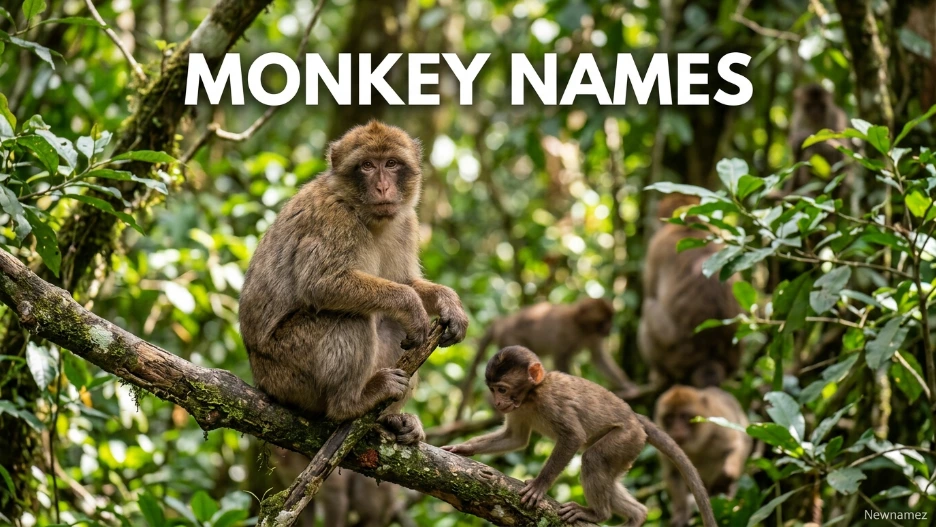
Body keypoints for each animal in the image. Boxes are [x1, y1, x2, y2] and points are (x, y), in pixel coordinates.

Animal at [239, 121, 469, 445]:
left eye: (391, 163)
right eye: (367, 166)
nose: (383, 187)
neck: (363, 212)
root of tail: (260, 380)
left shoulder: (406, 222)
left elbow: (404, 280)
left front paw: (449, 303)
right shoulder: (333, 220)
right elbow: (321, 284)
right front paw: (411, 305)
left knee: (390, 322)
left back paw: (390, 419)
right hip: (287, 370)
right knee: (351, 316)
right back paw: (351, 403)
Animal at [443, 346, 716, 527]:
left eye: (501, 389)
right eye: (492, 390)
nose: (498, 403)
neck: (533, 394)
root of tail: (635, 419)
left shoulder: (550, 402)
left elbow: (573, 437)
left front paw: (539, 486)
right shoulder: (519, 408)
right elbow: (515, 438)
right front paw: (462, 448)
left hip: (626, 438)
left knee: (593, 458)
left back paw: (598, 514)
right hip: (630, 446)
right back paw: (637, 515)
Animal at [457, 298, 637, 417]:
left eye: (610, 319)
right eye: (603, 321)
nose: (610, 328)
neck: (582, 327)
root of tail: (501, 322)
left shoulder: (593, 337)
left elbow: (598, 358)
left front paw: (627, 385)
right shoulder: (566, 331)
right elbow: (562, 358)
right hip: (509, 336)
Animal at [638, 193, 741, 390]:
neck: (689, 227)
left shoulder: (657, 245)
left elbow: (650, 292)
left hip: (673, 356)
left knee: (648, 307)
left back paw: (660, 375)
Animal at [655, 385, 752, 527]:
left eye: (684, 416)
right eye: (670, 417)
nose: (676, 430)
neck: (696, 446)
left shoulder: (718, 426)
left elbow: (735, 446)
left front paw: (728, 474)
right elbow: (673, 473)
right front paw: (681, 512)